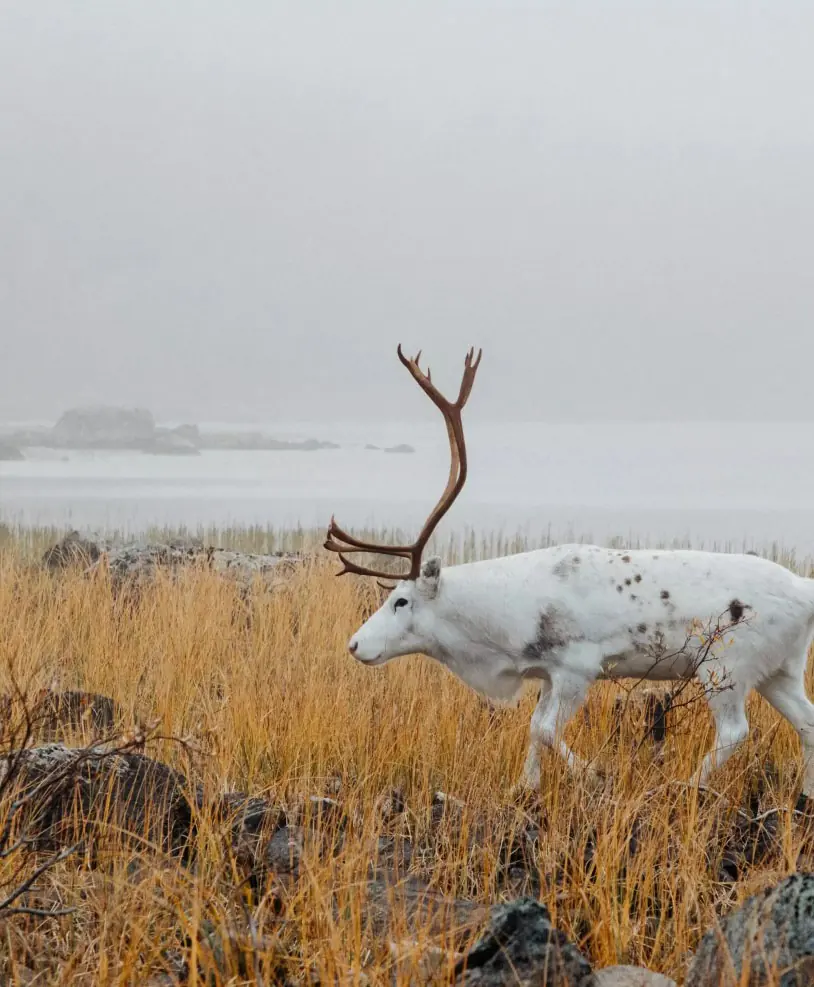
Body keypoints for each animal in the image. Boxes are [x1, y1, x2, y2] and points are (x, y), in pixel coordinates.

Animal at [325, 345, 814, 796]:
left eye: (401, 600)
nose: (354, 644)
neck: (498, 622)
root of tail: (804, 590)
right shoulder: (547, 674)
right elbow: (533, 728)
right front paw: (525, 786)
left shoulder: (577, 669)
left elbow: (543, 730)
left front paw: (592, 772)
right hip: (780, 671)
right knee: (807, 723)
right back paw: (805, 793)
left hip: (724, 668)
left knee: (735, 731)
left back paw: (684, 785)